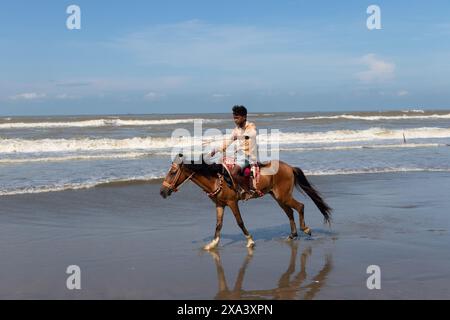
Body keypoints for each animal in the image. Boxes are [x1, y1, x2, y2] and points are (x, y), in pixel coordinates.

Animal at [160, 155, 332, 250]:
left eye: (173, 172)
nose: (162, 192)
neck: (216, 179)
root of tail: (290, 167)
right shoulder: (219, 204)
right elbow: (218, 224)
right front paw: (213, 244)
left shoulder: (232, 202)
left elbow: (240, 222)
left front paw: (250, 241)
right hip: (278, 197)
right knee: (290, 212)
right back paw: (293, 235)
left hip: (283, 196)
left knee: (300, 206)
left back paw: (305, 229)